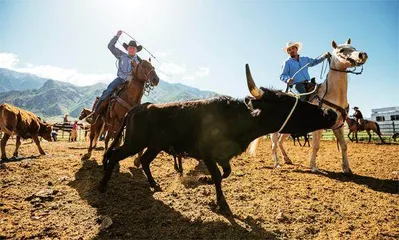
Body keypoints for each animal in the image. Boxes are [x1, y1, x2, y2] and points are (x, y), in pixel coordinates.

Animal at [250, 38, 368, 172]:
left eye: (353, 48)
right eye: (342, 50)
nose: (362, 54)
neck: (333, 95)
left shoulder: (339, 126)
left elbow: (344, 145)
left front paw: (346, 168)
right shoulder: (319, 127)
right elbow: (316, 146)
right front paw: (313, 166)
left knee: (280, 142)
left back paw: (287, 159)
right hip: (276, 129)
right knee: (274, 144)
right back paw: (277, 163)